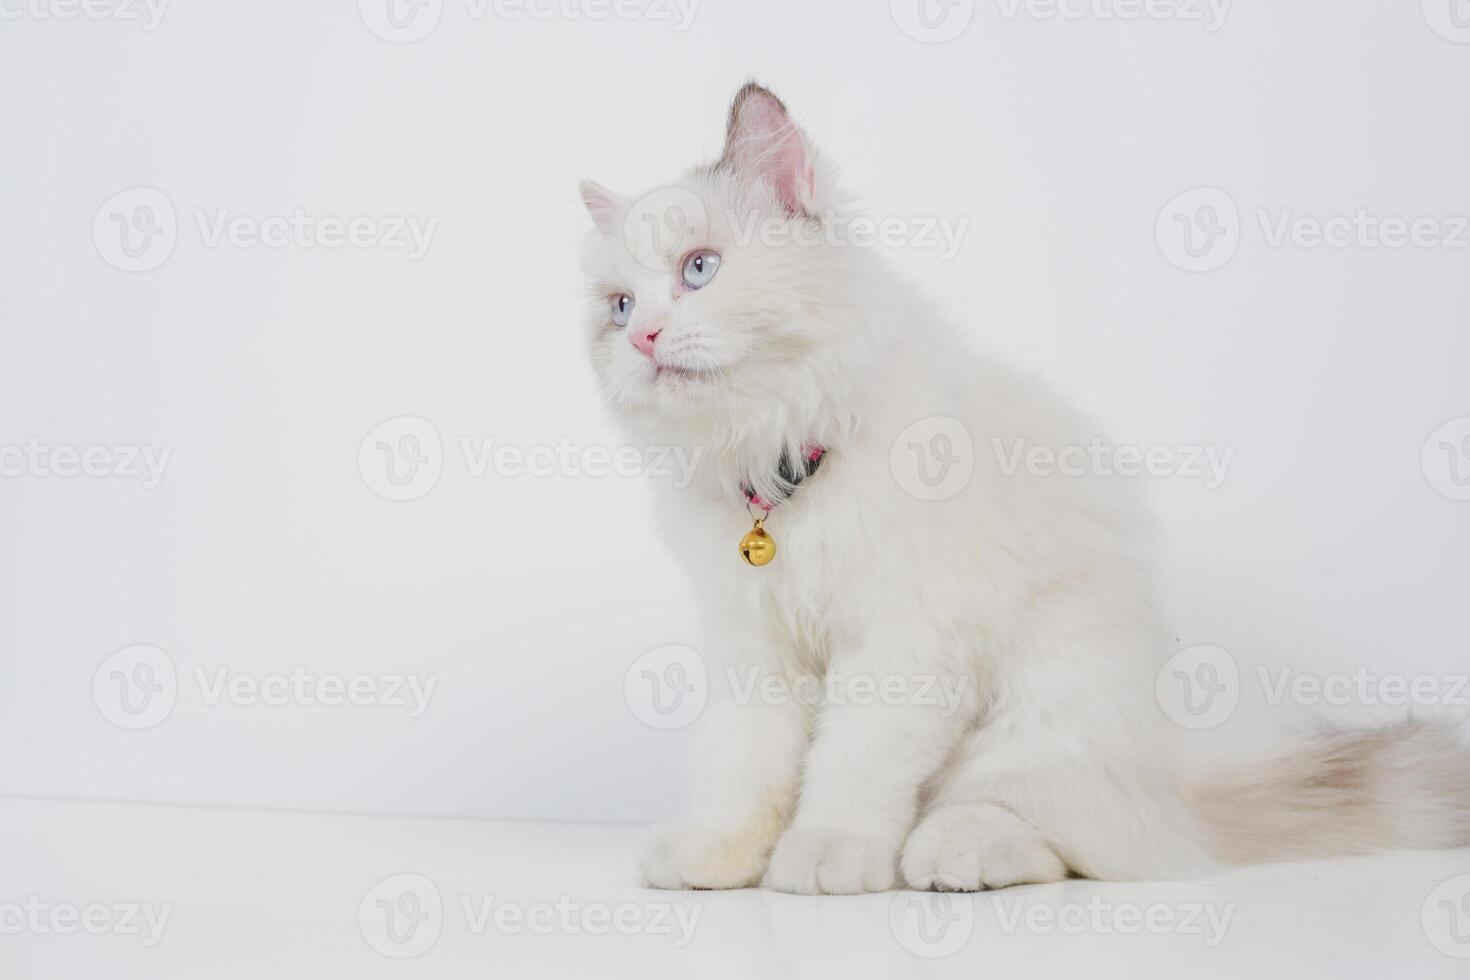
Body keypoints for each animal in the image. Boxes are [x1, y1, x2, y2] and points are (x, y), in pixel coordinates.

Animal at [576, 86, 1470, 899]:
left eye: (699, 270)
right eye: (618, 309)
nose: (644, 338)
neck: (780, 460)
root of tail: (1175, 798)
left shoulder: (900, 644)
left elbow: (850, 766)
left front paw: (827, 854)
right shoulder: (755, 650)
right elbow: (745, 768)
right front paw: (722, 857)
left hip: (1047, 700)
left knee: (1055, 839)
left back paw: (951, 855)